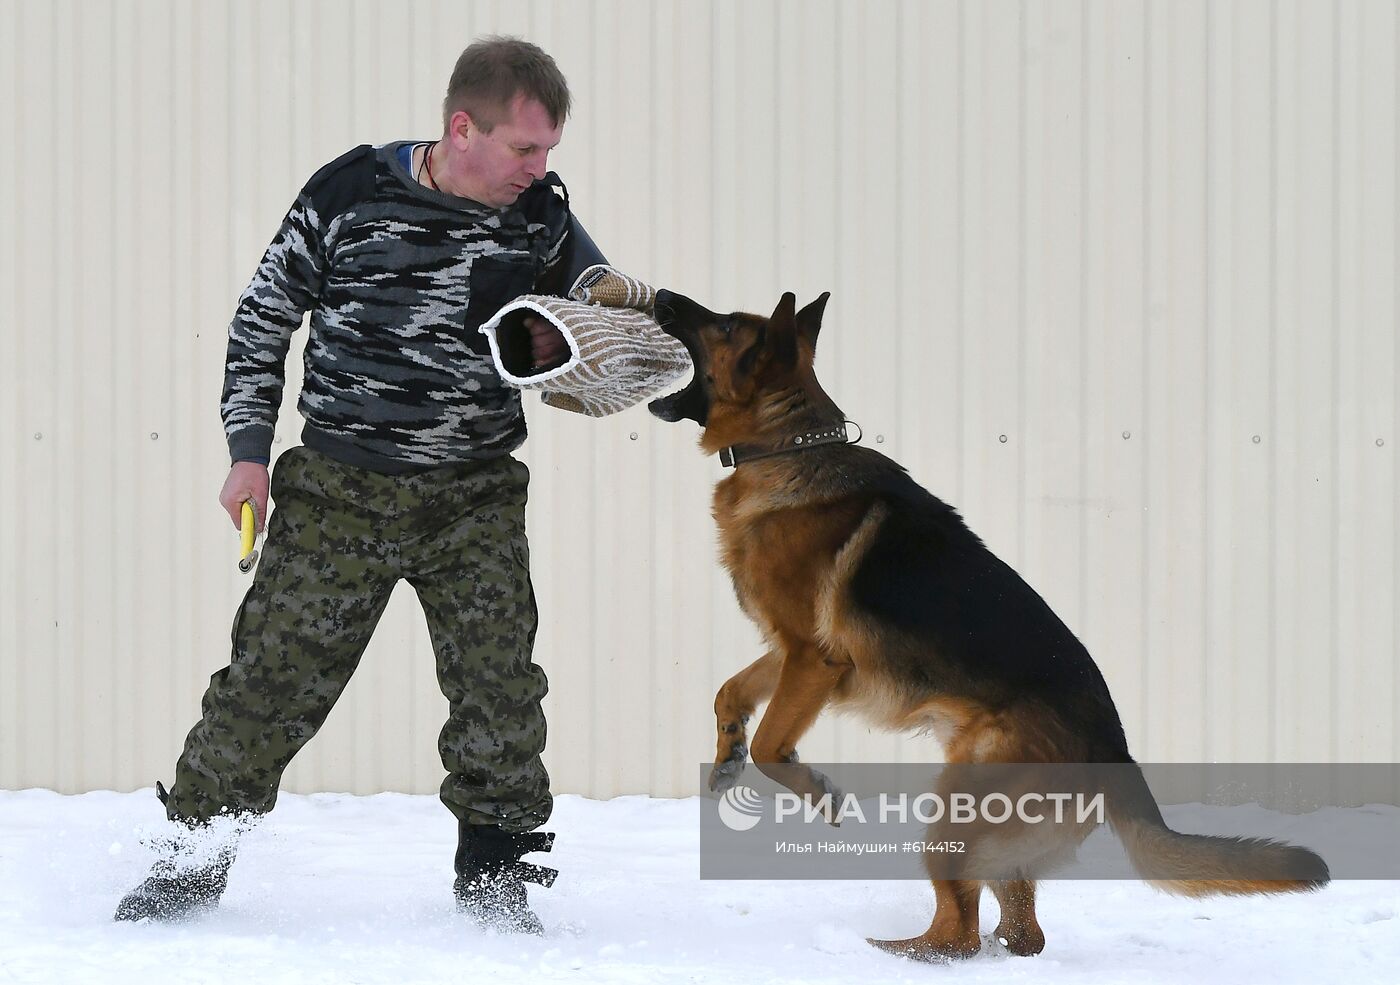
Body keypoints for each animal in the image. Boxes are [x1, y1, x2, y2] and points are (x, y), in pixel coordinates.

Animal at [644, 288, 1321, 957]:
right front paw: (727, 748)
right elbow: (729, 692)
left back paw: (893, 953)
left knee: (961, 932)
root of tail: (1117, 751)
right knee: (1019, 930)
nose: (664, 297)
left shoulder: (814, 658)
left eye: (725, 325)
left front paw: (816, 790)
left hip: (956, 810)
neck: (789, 446)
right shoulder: (791, 655)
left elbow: (770, 746)